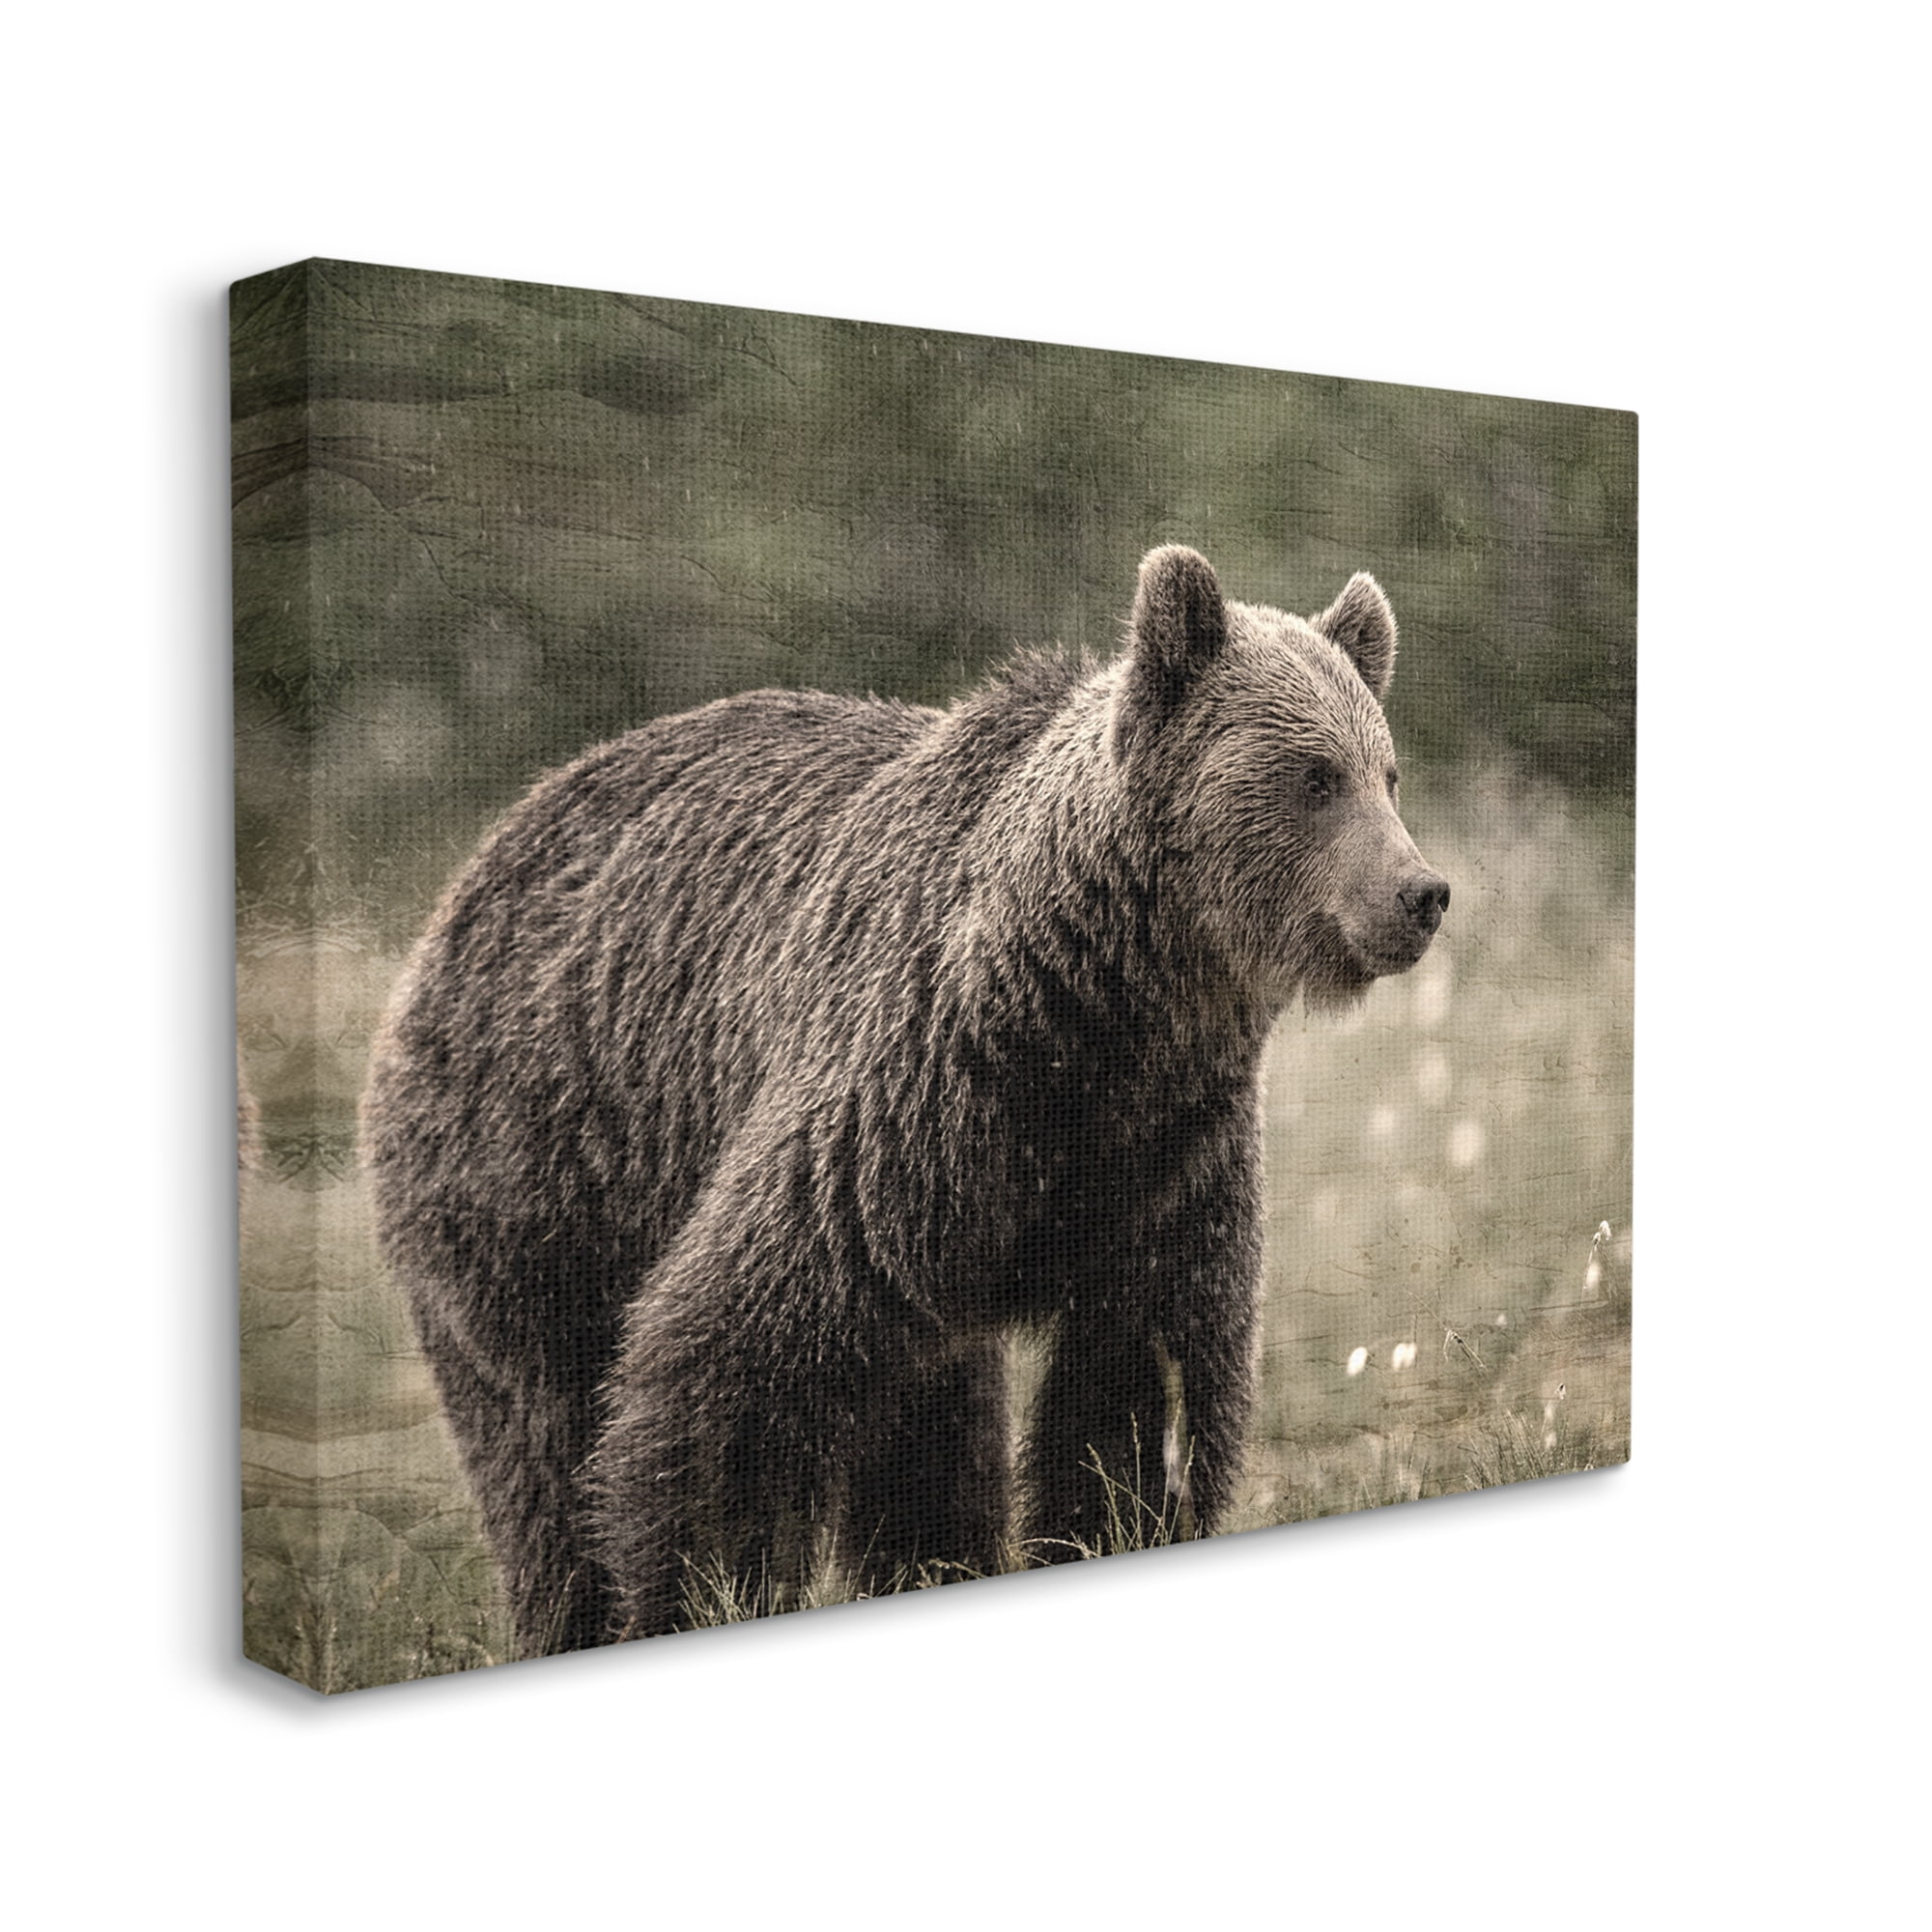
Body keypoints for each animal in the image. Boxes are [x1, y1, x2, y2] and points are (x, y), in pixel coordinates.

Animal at [363, 545, 1449, 1655]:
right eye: (1313, 776)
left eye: (1386, 771)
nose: (1420, 894)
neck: (1099, 1011)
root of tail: (477, 865)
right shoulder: (909, 1100)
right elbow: (732, 1363)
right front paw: (707, 1588)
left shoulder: (1163, 1155)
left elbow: (1138, 1388)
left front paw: (1111, 1520)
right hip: (541, 1158)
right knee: (543, 1429)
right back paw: (573, 1608)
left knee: (928, 1427)